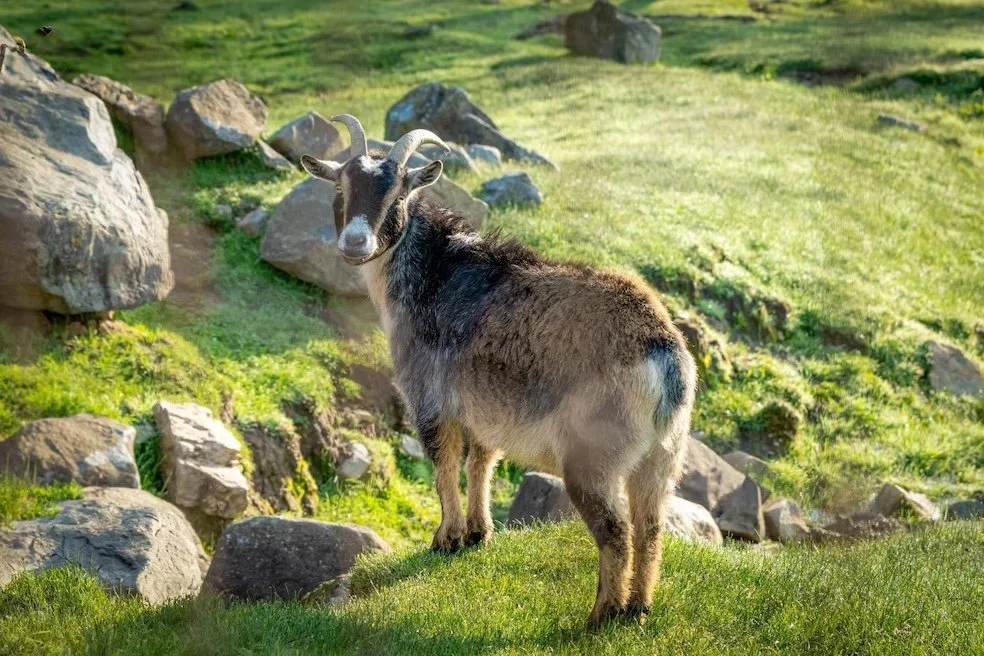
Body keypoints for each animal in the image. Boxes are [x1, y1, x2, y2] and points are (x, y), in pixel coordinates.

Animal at [301, 115, 696, 628]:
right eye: (340, 186)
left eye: (399, 194)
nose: (355, 243)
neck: (436, 273)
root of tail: (663, 354)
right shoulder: (486, 406)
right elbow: (481, 461)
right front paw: (478, 533)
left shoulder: (430, 398)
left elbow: (444, 463)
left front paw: (445, 539)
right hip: (663, 455)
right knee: (651, 525)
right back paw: (637, 609)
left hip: (594, 456)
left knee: (615, 529)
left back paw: (600, 616)